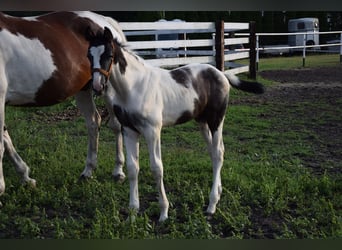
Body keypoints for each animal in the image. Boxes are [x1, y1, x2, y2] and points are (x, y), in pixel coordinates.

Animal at [0, 11, 127, 199]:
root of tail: (104, 21)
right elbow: (6, 140)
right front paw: (26, 177)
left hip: (107, 88)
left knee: (115, 125)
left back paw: (118, 171)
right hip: (84, 89)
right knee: (93, 122)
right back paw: (88, 171)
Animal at [86, 27, 264, 222]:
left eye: (109, 54)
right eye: (89, 55)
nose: (97, 86)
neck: (134, 87)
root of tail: (221, 74)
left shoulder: (152, 130)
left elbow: (157, 168)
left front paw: (164, 212)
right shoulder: (129, 130)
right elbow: (133, 169)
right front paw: (132, 213)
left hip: (216, 120)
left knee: (218, 153)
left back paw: (212, 205)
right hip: (202, 121)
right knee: (214, 151)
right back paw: (218, 191)